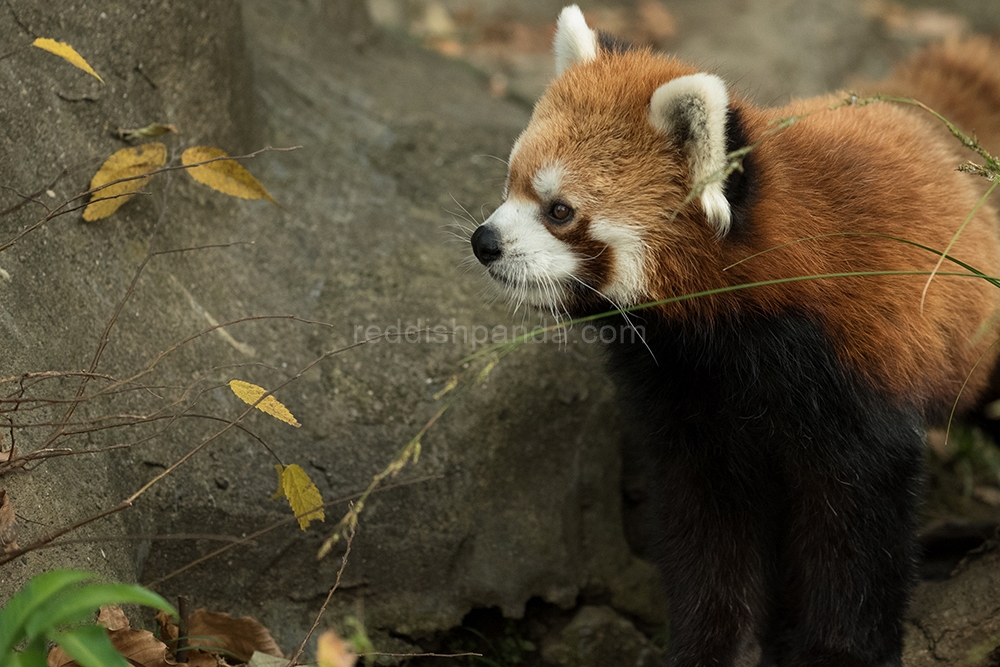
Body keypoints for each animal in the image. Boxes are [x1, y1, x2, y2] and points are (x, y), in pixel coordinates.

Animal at [472, 5, 1000, 667]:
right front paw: (711, 645)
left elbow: (858, 524)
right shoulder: (687, 392)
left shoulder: (851, 366)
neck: (725, 333)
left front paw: (838, 651)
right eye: (510, 185)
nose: (484, 242)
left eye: (559, 210)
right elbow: (709, 529)